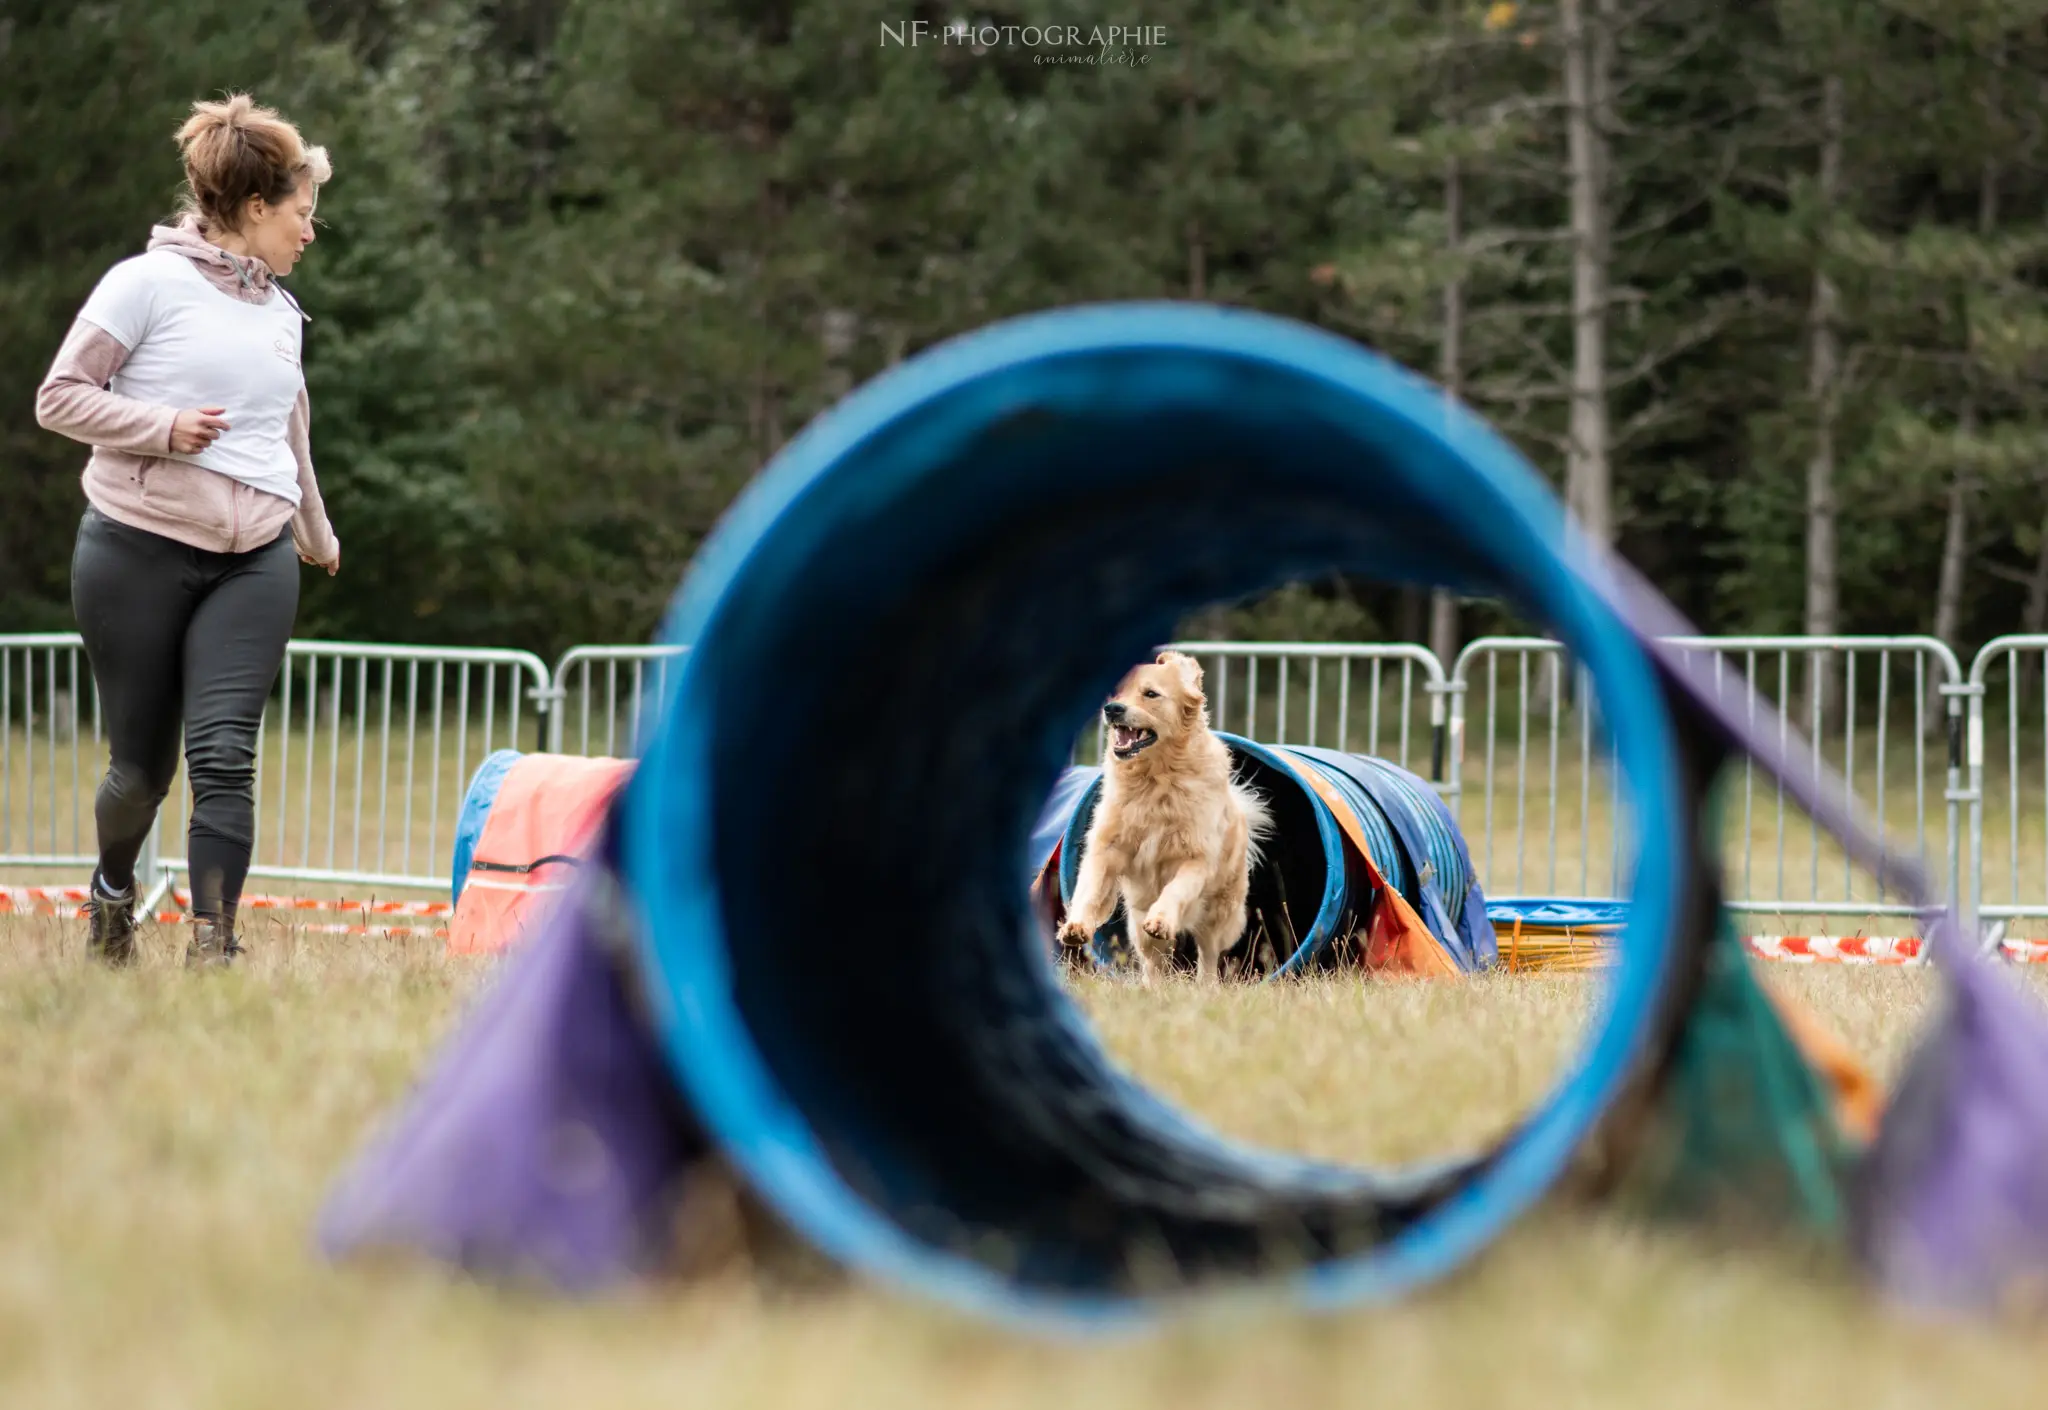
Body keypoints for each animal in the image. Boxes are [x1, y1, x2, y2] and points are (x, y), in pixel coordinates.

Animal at [1064, 651, 1269, 979]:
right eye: (1115, 692)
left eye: (1151, 694)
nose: (1112, 709)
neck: (1155, 778)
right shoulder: (1107, 847)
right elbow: (1090, 887)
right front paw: (1076, 926)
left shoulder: (1196, 858)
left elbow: (1176, 890)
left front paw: (1161, 920)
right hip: (1137, 923)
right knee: (1153, 963)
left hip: (1220, 911)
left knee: (1208, 955)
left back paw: (1205, 984)